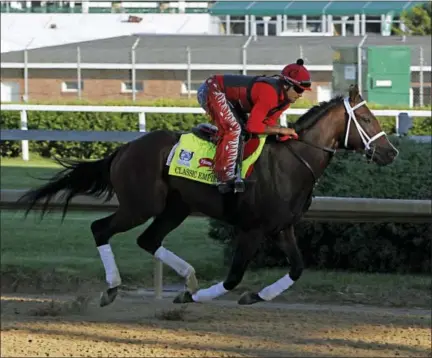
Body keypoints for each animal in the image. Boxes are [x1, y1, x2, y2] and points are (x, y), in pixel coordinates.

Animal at [19, 84, 398, 304]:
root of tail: (125, 149)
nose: (391, 152)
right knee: (100, 228)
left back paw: (187, 278)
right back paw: (114, 287)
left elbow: (297, 268)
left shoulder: (283, 227)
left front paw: (255, 296)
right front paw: (200, 297)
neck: (293, 161)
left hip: (175, 208)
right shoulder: (252, 229)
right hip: (141, 205)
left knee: (148, 240)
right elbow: (232, 278)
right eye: (366, 118)